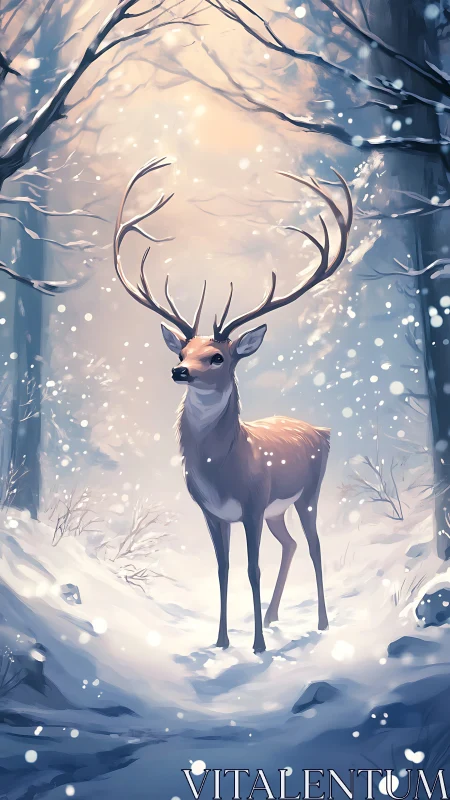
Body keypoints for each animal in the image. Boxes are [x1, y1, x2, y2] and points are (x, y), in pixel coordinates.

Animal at [113, 156, 352, 654]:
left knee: (314, 546)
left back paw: (320, 623)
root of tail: (323, 430)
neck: (222, 469)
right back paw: (276, 616)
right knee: (291, 545)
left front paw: (257, 645)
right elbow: (223, 571)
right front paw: (222, 640)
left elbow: (251, 569)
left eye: (218, 356)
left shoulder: (252, 504)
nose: (179, 371)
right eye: (182, 351)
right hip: (278, 510)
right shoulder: (213, 512)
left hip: (307, 493)